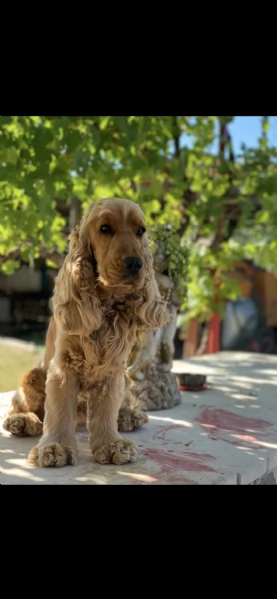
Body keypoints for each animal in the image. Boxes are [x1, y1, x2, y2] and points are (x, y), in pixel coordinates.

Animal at [3, 200, 169, 468]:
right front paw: (56, 448)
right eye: (105, 229)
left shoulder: (113, 368)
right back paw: (22, 421)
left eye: (141, 231)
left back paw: (129, 416)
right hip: (32, 375)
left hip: (125, 378)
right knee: (21, 405)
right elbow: (59, 410)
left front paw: (111, 445)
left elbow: (106, 409)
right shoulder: (64, 366)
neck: (106, 305)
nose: (136, 263)